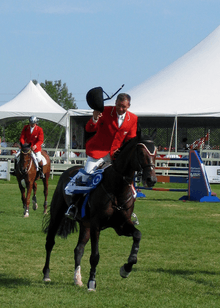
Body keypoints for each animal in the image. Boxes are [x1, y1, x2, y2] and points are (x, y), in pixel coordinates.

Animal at [42, 134, 156, 290]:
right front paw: (92, 282)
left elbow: (137, 235)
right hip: (57, 215)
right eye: (141, 153)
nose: (151, 179)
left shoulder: (121, 225)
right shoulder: (96, 225)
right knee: (50, 243)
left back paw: (77, 279)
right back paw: (46, 275)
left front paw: (126, 268)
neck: (117, 188)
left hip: (85, 225)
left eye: (156, 154)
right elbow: (95, 256)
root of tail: (68, 170)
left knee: (78, 249)